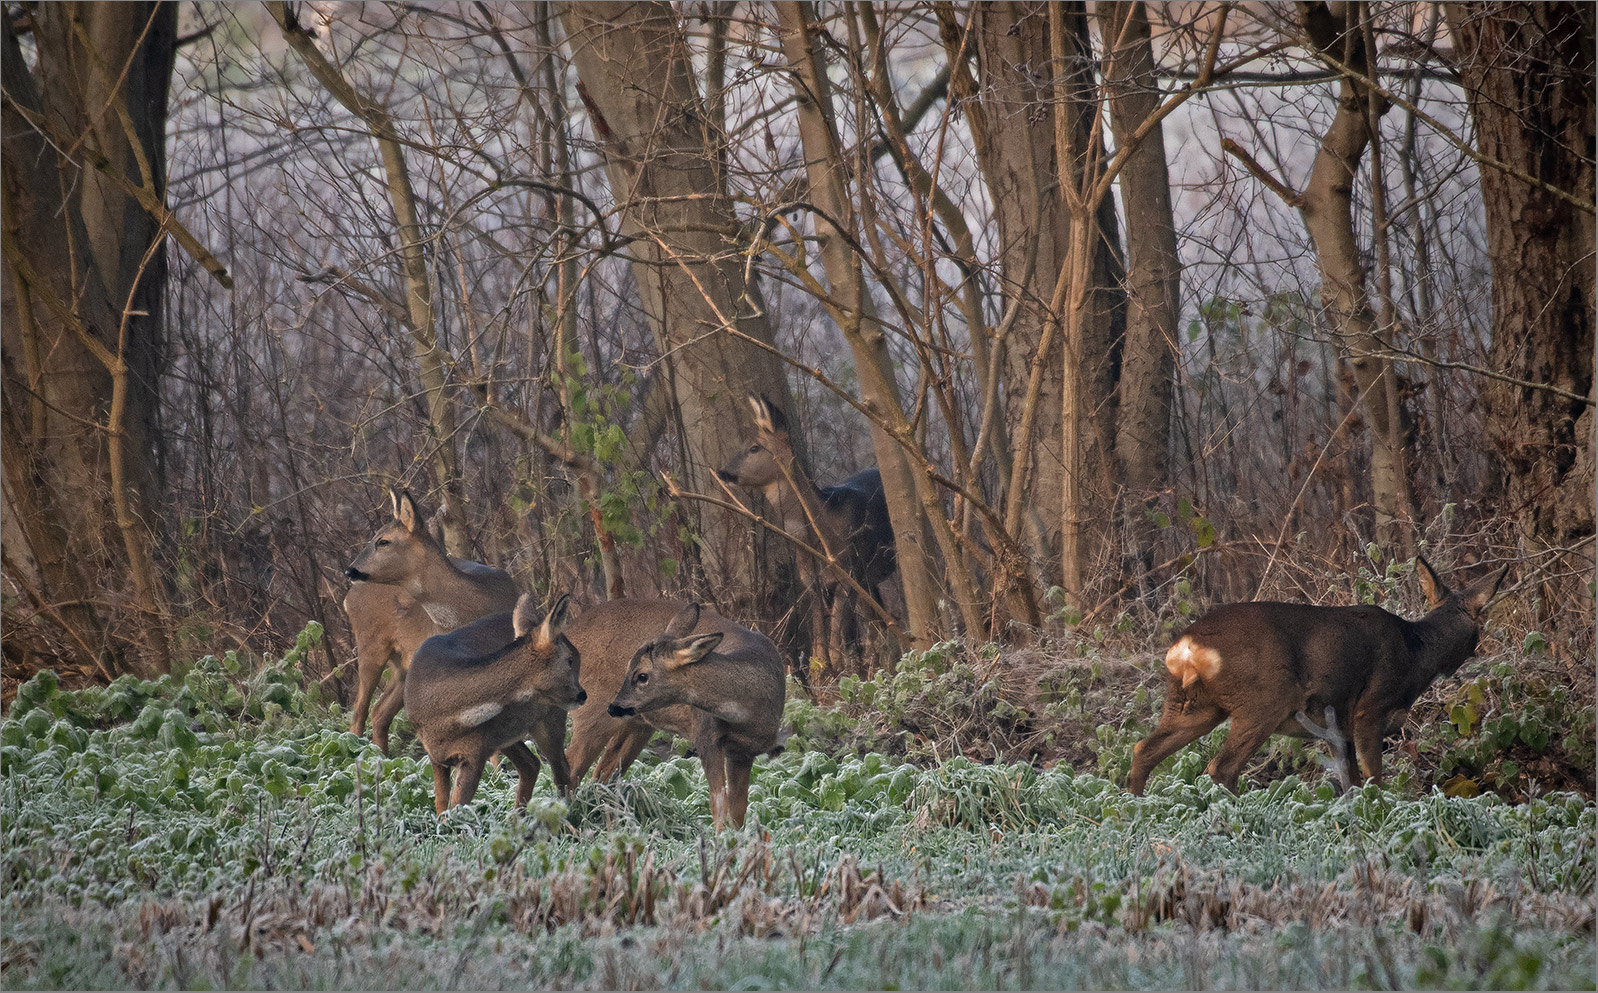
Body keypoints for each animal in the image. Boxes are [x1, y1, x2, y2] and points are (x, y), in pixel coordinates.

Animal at [343, 489, 517, 751]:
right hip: (370, 645)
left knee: (378, 712)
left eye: (383, 541)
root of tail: (347, 598)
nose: (350, 570)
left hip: (404, 663)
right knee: (359, 713)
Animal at [405, 591, 588, 809]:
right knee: (532, 765)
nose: (582, 694)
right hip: (505, 734)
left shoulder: (474, 754)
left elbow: (458, 808)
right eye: (569, 660)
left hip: (550, 716)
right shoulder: (435, 756)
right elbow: (442, 806)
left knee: (561, 771)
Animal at [559, 594, 789, 831]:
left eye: (642, 676)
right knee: (572, 769)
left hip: (637, 724)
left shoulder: (743, 753)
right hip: (592, 712)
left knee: (603, 776)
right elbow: (718, 805)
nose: (614, 706)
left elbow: (738, 810)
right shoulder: (706, 738)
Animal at [715, 398, 894, 668]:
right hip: (867, 580)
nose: (723, 472)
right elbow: (819, 647)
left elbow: (838, 647)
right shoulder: (812, 582)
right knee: (878, 626)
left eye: (754, 447)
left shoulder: (847, 572)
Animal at [1124, 556, 1508, 796]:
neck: (1416, 653)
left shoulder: (1338, 726)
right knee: (1221, 766)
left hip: (1193, 704)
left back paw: (1135, 808)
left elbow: (1351, 781)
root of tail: (1187, 647)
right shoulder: (1371, 708)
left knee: (1144, 749)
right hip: (1265, 699)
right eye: (1478, 630)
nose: (1477, 652)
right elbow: (1373, 776)